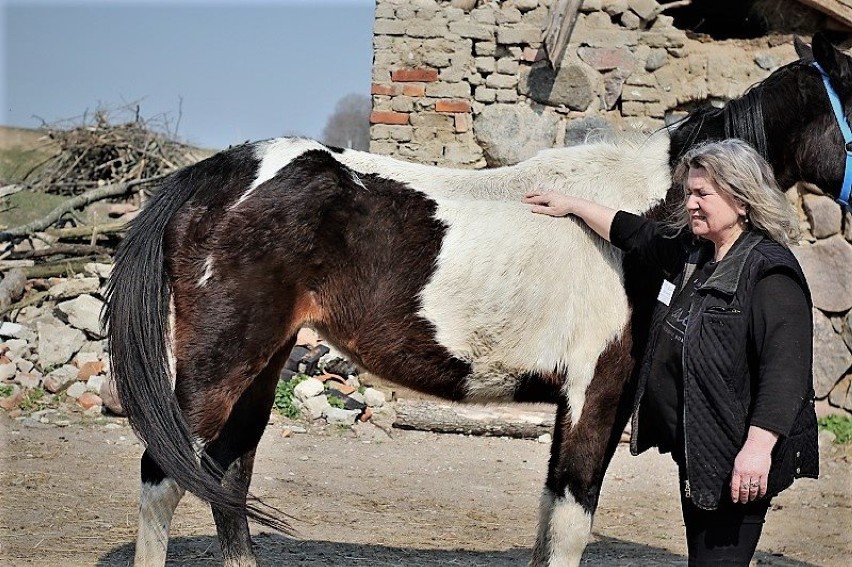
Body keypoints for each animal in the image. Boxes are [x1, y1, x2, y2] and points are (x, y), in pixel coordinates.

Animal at [103, 35, 848, 567]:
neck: (640, 218)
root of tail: (215, 171)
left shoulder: (573, 403)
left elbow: (550, 523)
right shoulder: (596, 395)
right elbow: (571, 521)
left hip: (262, 365)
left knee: (227, 474)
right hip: (218, 366)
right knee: (163, 476)